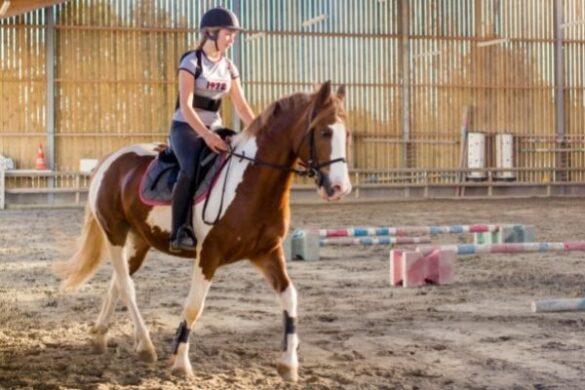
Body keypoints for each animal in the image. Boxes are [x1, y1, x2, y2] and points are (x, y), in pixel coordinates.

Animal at [52, 80, 352, 382]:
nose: (340, 188)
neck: (250, 183)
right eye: (324, 131)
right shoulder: (208, 255)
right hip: (114, 233)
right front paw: (181, 363)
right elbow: (194, 306)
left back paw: (100, 337)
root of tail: (110, 160)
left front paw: (289, 364)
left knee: (117, 283)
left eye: (346, 133)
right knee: (126, 286)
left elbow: (290, 297)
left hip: (140, 242)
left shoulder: (267, 252)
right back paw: (146, 346)